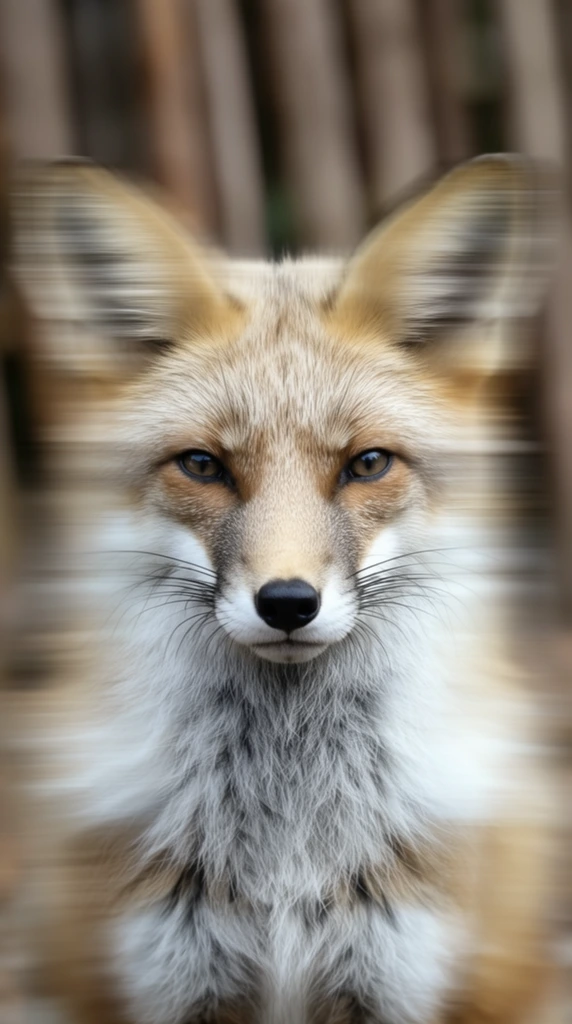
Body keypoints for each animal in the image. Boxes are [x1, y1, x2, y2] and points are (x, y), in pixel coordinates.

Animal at [7, 155, 559, 1024]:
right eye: (203, 466)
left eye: (368, 464)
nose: (289, 604)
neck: (287, 844)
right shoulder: (170, 980)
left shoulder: (397, 975)